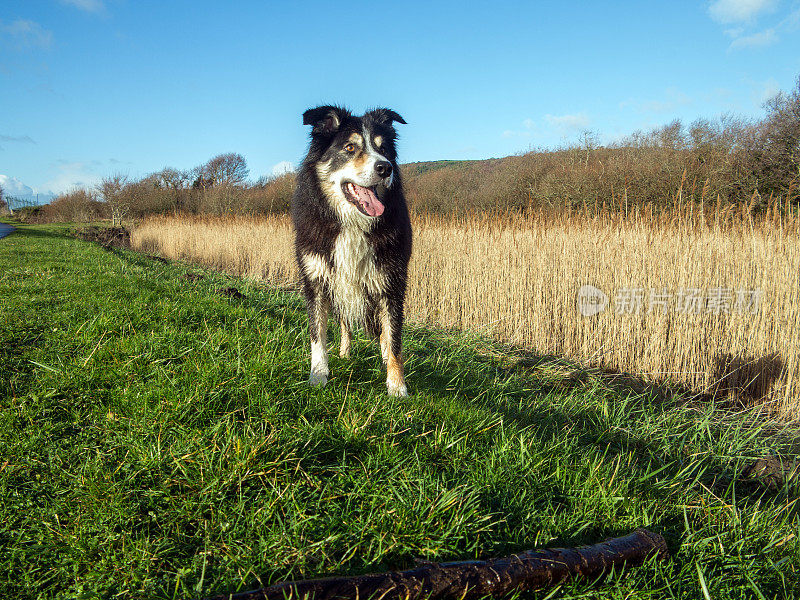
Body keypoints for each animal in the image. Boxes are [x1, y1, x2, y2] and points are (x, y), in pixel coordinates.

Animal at [290, 106, 412, 398]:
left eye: (384, 149)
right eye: (349, 147)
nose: (385, 167)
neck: (351, 222)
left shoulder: (391, 282)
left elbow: (394, 337)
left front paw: (397, 386)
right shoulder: (316, 279)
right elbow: (317, 334)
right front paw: (318, 375)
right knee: (344, 321)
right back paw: (344, 352)